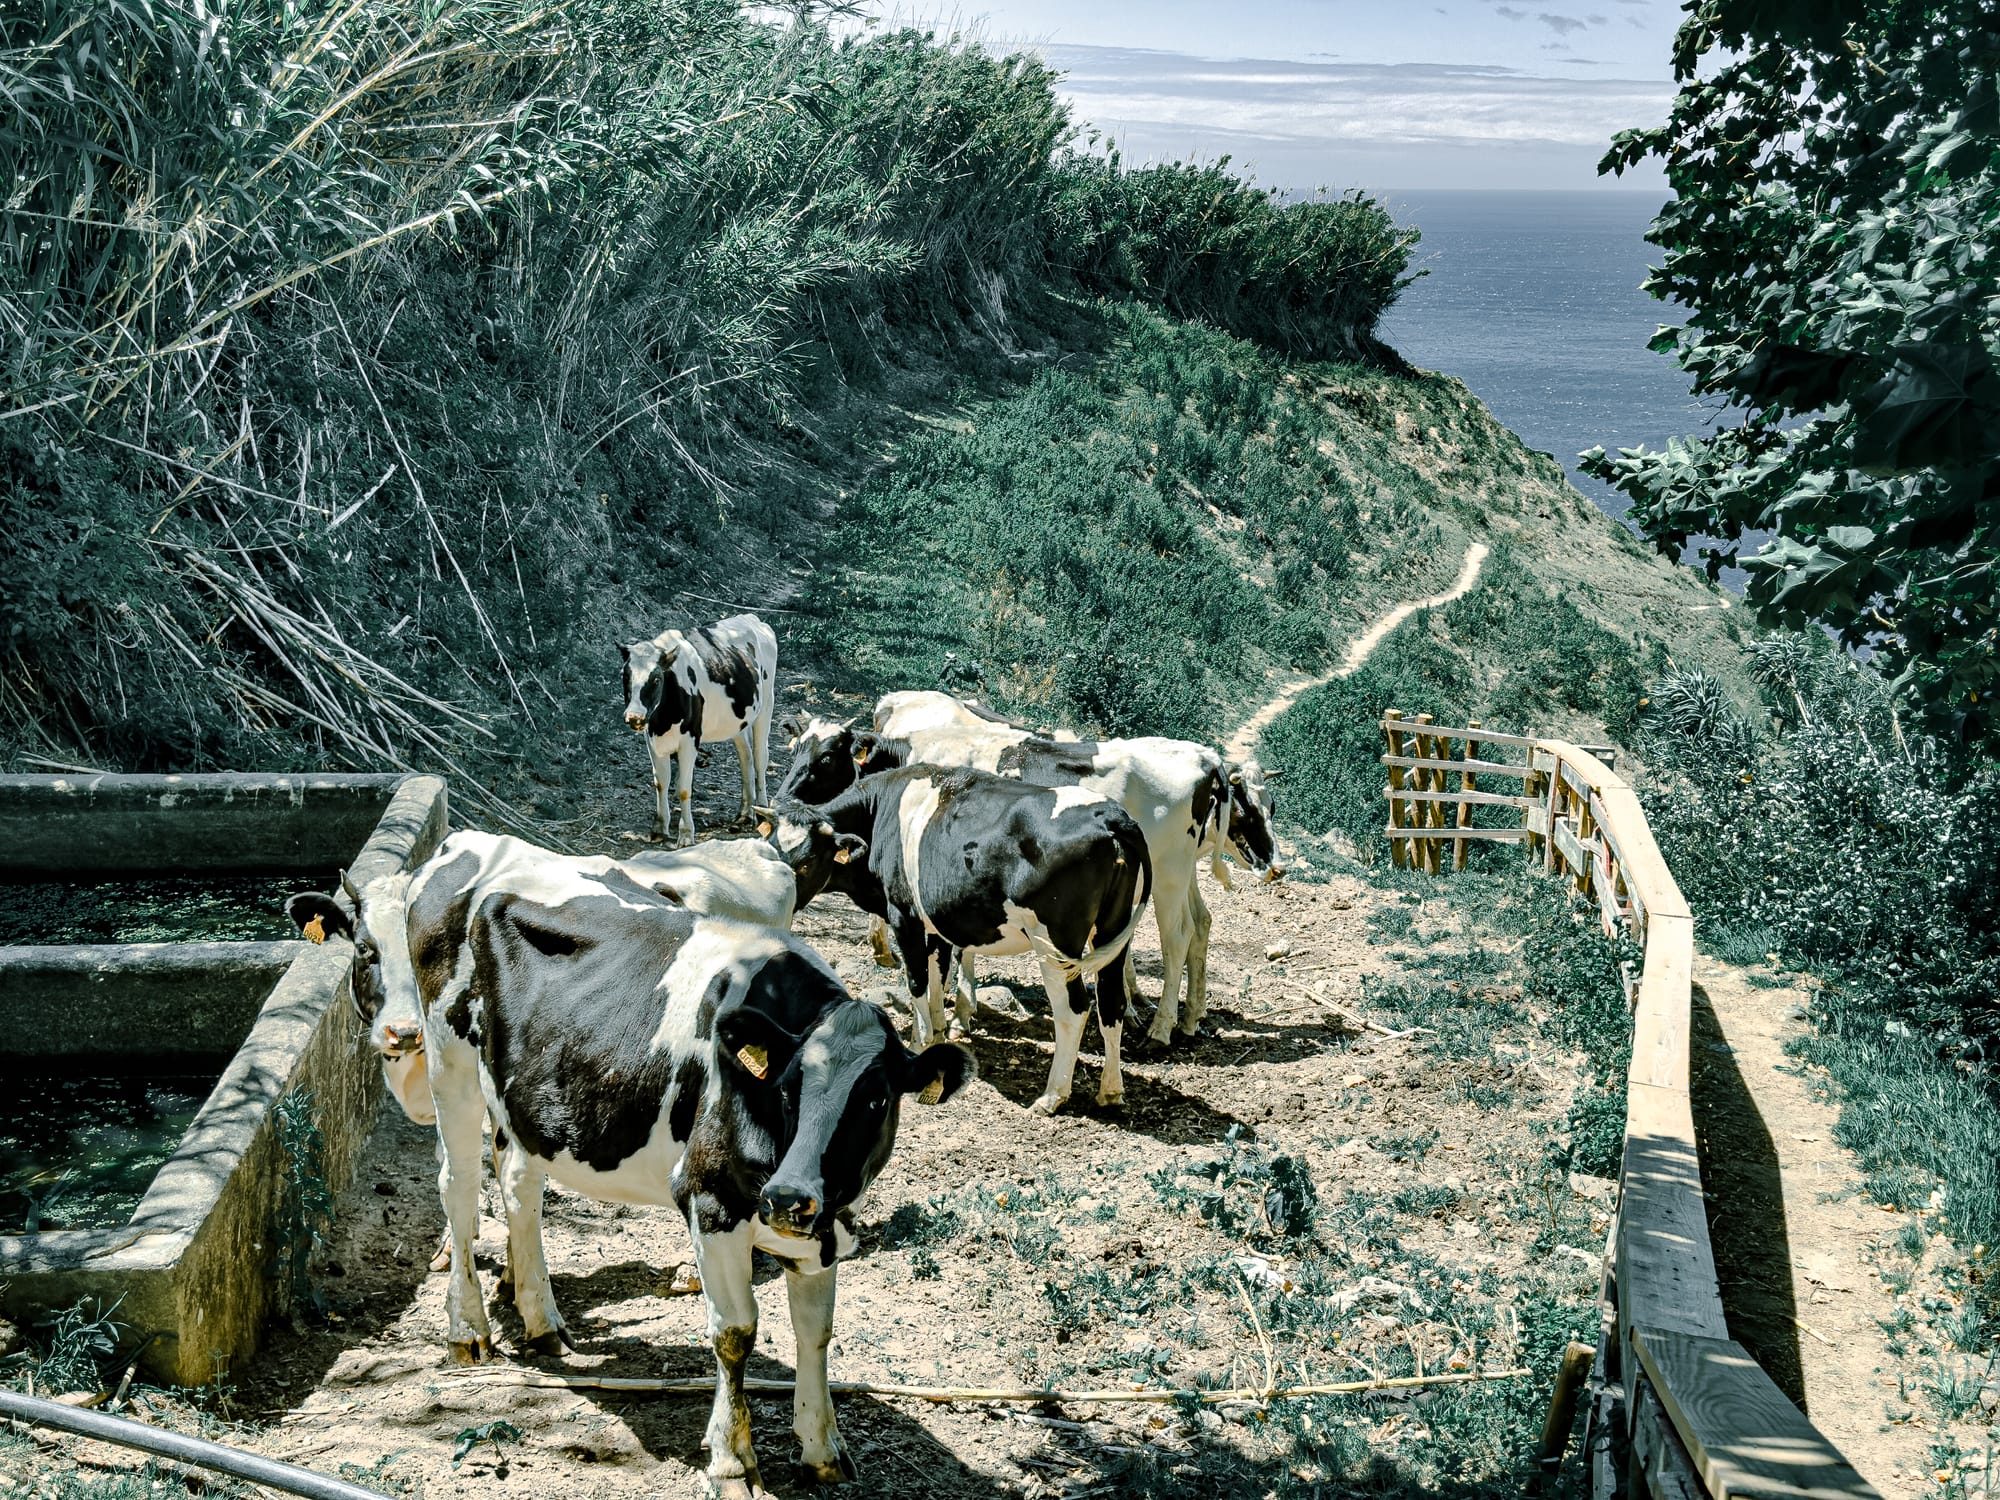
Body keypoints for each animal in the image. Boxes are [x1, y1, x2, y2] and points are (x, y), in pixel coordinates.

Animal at [287, 837, 971, 1497]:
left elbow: (816, 1331)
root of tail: (461, 845)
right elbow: (735, 1332)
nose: (788, 1197)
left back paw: (541, 1318)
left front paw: (823, 1449)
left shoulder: (823, 1224)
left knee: (519, 1187)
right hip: (449, 1062)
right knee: (456, 1187)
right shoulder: (711, 1200)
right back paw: (468, 1329)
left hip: (525, 1098)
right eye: (786, 1087)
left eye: (876, 1099)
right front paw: (732, 1463)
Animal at [621, 613, 777, 846]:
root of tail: (752, 618)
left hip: (766, 704)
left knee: (759, 757)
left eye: (656, 679)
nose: (634, 716)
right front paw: (659, 828)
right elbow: (661, 783)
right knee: (746, 756)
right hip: (739, 719)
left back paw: (761, 810)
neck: (663, 719)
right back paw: (744, 813)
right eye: (625, 676)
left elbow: (684, 789)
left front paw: (686, 834)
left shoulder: (690, 739)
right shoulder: (652, 738)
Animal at [765, 764, 1151, 1114]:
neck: (881, 814)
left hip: (1054, 942)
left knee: (1074, 1009)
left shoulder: (904, 916)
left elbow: (917, 980)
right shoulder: (938, 922)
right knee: (1111, 1001)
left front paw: (920, 1043)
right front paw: (936, 1031)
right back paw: (1110, 1091)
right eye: (770, 850)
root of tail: (1111, 817)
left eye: (806, 862)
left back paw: (1052, 1096)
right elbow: (939, 974)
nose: (778, 898)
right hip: (1113, 931)